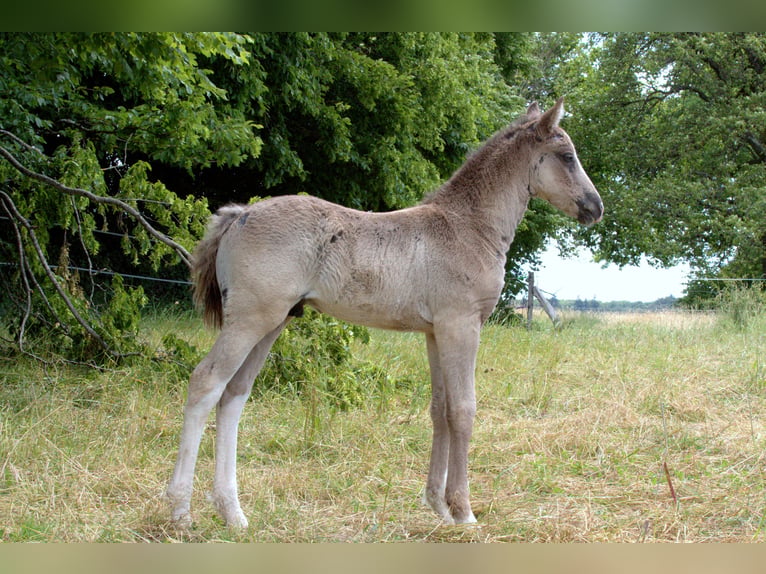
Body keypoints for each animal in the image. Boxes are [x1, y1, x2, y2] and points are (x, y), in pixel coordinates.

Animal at [165, 97, 603, 528]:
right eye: (567, 156)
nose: (595, 207)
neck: (468, 227)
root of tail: (239, 214)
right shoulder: (461, 325)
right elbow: (463, 410)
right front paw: (464, 511)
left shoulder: (435, 332)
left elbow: (440, 409)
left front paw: (438, 506)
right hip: (250, 319)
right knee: (206, 383)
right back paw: (180, 509)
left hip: (273, 322)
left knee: (234, 394)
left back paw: (233, 513)